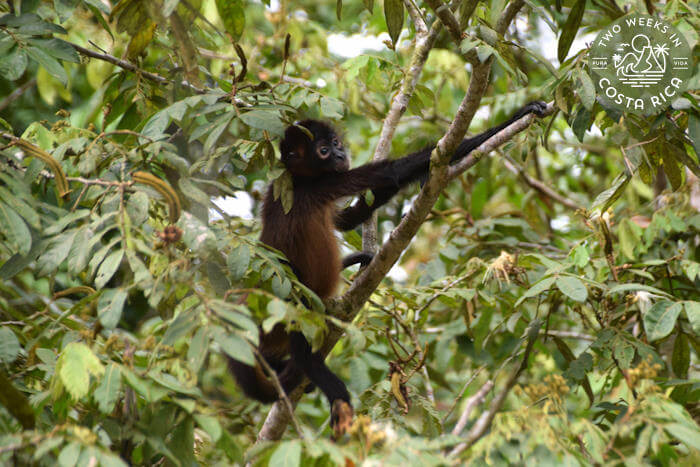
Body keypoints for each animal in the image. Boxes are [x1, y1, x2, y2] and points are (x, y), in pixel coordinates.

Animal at [229, 101, 548, 437]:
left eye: (337, 143)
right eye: (324, 150)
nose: (340, 154)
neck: (296, 176)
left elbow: (349, 219)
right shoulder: (323, 183)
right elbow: (392, 174)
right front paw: (516, 116)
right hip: (294, 300)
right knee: (303, 350)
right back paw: (335, 394)